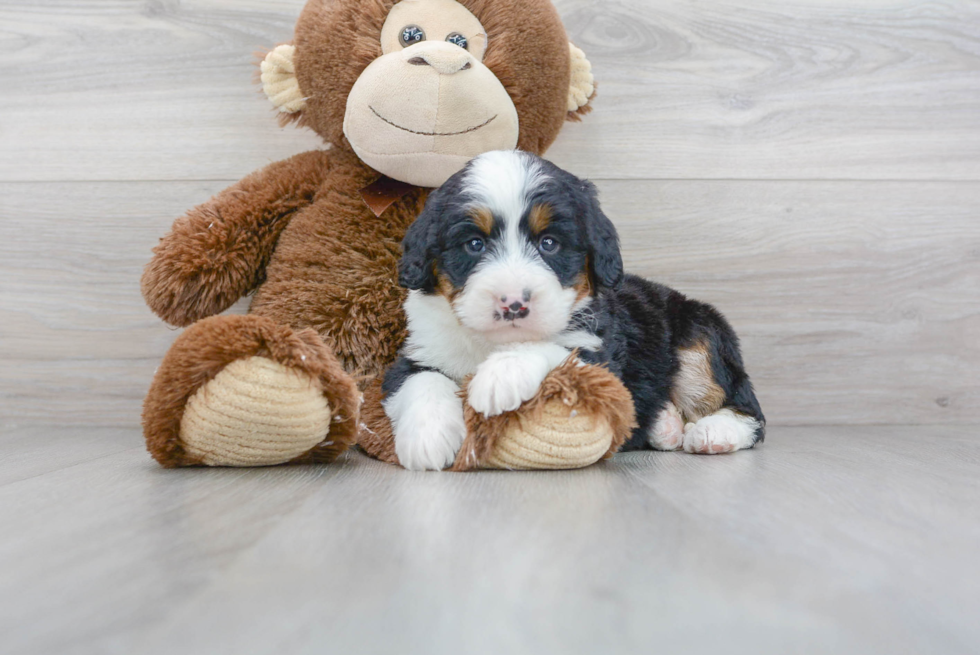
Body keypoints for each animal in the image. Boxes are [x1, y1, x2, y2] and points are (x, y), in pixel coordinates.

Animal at [382, 152, 764, 472]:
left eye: (549, 243)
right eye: (474, 244)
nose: (514, 303)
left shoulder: (600, 358)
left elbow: (552, 347)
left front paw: (500, 374)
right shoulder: (418, 352)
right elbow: (421, 380)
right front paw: (427, 438)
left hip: (699, 335)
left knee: (747, 408)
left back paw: (715, 431)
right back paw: (665, 425)